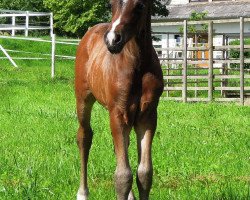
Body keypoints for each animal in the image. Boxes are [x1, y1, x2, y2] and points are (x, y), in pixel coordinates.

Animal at [75, 0, 163, 199]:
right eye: (111, 3)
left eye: (140, 6)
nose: (112, 40)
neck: (138, 65)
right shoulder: (117, 112)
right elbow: (123, 176)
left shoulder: (148, 116)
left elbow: (144, 173)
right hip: (83, 100)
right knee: (84, 136)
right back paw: (82, 193)